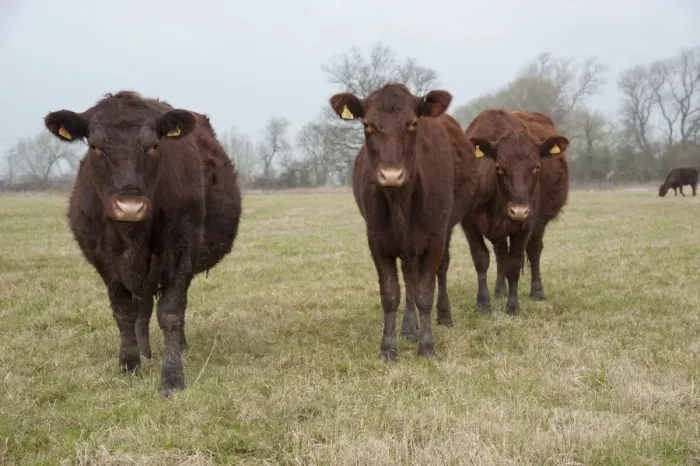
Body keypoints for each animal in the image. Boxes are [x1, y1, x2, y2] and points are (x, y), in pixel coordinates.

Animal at [43, 91, 242, 397]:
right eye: (94, 146)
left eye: (154, 145)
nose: (129, 207)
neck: (132, 233)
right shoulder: (105, 261)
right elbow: (124, 313)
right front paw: (130, 364)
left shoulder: (181, 251)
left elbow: (171, 312)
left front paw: (172, 376)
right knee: (143, 309)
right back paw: (145, 352)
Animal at [328, 83, 476, 360]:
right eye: (367, 125)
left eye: (412, 123)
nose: (391, 175)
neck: (400, 201)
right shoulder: (377, 240)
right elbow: (391, 294)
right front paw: (388, 347)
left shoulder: (435, 238)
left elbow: (425, 292)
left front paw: (427, 346)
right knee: (409, 276)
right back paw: (409, 327)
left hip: (446, 229)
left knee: (441, 270)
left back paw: (444, 316)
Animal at [462, 109, 569, 316]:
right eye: (499, 167)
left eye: (536, 167)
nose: (518, 210)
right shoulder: (469, 223)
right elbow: (481, 259)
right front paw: (483, 304)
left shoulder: (525, 225)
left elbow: (514, 263)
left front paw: (512, 306)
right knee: (500, 253)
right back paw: (499, 290)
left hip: (538, 222)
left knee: (534, 250)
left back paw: (537, 291)